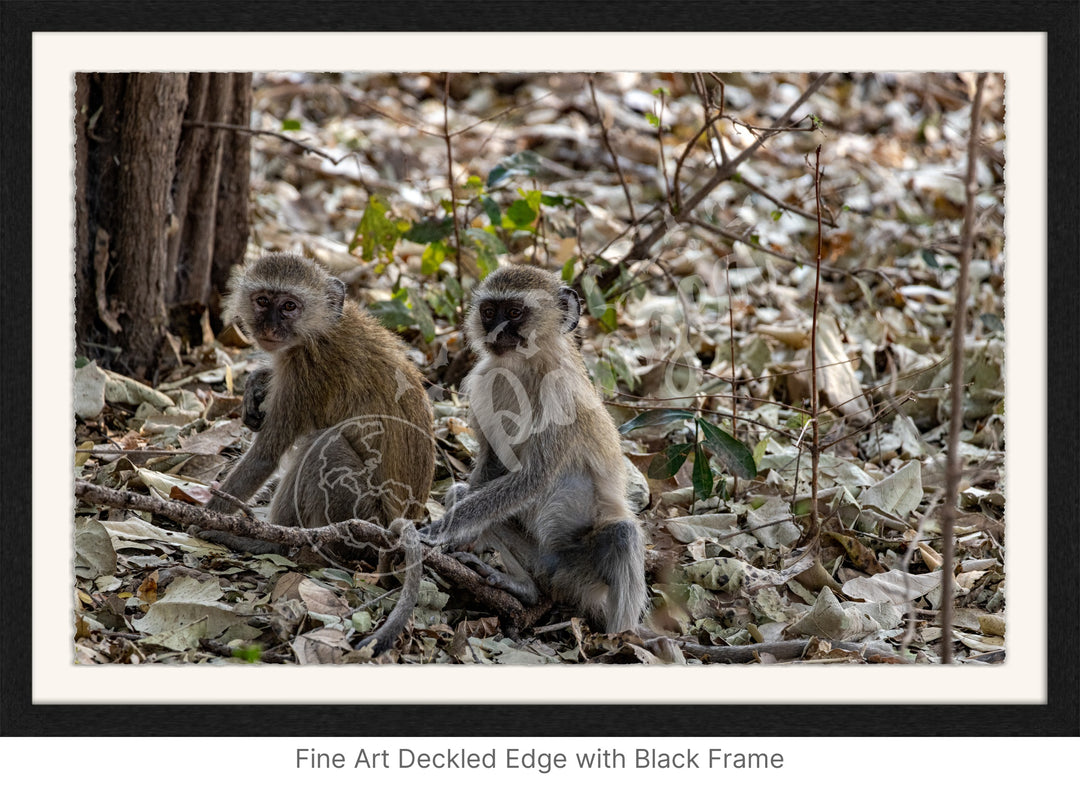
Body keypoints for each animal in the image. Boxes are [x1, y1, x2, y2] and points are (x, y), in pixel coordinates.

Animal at [421, 263, 639, 631]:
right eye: (489, 312)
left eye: (514, 312)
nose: (495, 332)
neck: (524, 368)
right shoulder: (485, 380)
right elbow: (494, 466)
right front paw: (457, 538)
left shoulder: (560, 395)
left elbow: (533, 479)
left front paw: (437, 531)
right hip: (540, 559)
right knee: (466, 495)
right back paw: (522, 586)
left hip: (585, 573)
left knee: (622, 534)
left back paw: (623, 636)